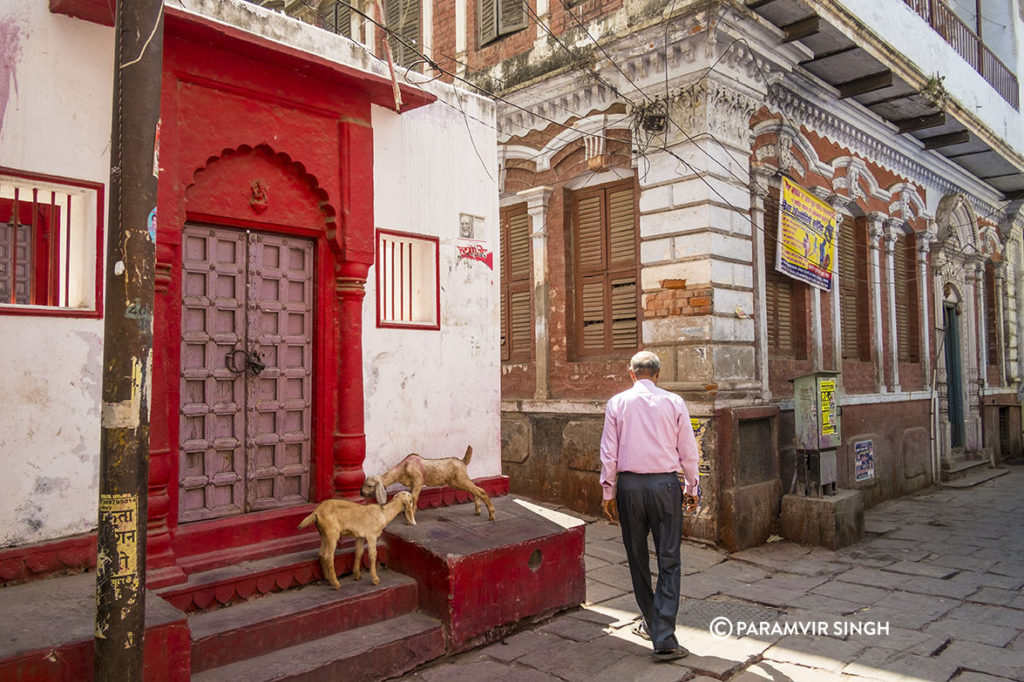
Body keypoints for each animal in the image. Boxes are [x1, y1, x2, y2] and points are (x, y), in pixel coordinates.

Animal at [360, 444, 495, 522]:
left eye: (369, 485)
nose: (361, 492)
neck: (403, 467)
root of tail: (462, 462)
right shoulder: (413, 484)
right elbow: (411, 498)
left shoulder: (418, 481)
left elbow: (414, 498)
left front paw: (410, 518)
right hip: (457, 482)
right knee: (476, 490)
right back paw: (478, 511)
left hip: (461, 479)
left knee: (481, 491)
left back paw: (491, 516)